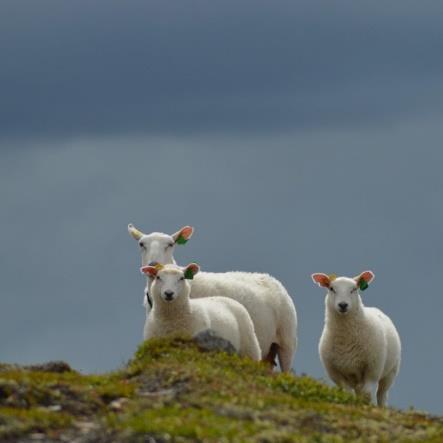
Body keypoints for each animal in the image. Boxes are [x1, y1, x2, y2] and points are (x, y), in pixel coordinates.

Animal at [128, 224, 298, 372]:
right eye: (141, 244)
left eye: (170, 244)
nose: (153, 264)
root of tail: (271, 279)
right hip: (267, 349)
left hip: (286, 340)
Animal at [312, 268, 402, 408]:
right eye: (332, 289)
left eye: (354, 289)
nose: (343, 305)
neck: (346, 339)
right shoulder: (336, 374)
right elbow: (348, 394)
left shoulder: (373, 370)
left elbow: (366, 394)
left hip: (390, 372)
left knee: (381, 394)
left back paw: (382, 407)